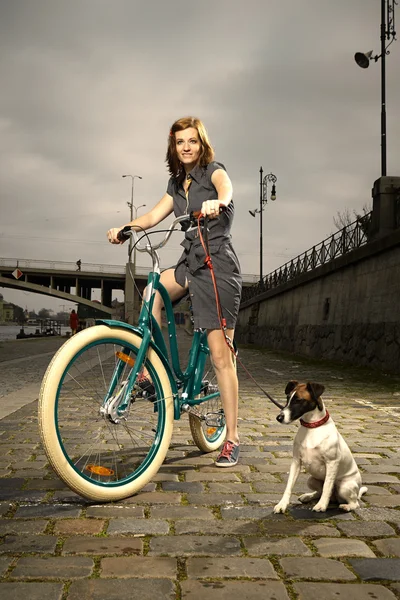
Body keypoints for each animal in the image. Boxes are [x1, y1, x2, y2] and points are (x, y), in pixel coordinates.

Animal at [274, 382, 368, 512]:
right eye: (287, 398)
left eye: (299, 400)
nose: (279, 418)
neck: (312, 427)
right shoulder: (296, 462)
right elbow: (289, 486)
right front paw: (282, 504)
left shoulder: (332, 462)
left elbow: (327, 486)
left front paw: (321, 505)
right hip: (311, 480)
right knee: (319, 492)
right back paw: (308, 496)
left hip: (345, 486)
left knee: (355, 503)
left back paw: (346, 506)